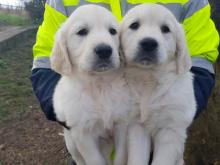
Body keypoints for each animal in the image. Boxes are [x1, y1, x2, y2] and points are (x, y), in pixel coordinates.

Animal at [50, 5, 131, 165]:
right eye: (82, 31)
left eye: (113, 31)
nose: (105, 50)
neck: (99, 85)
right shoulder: (82, 134)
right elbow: (95, 160)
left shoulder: (121, 125)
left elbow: (120, 157)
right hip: (71, 142)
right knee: (79, 159)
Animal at [119, 3, 197, 165]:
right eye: (134, 25)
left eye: (165, 29)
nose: (148, 43)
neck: (149, 78)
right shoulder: (137, 126)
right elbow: (136, 158)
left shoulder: (171, 129)